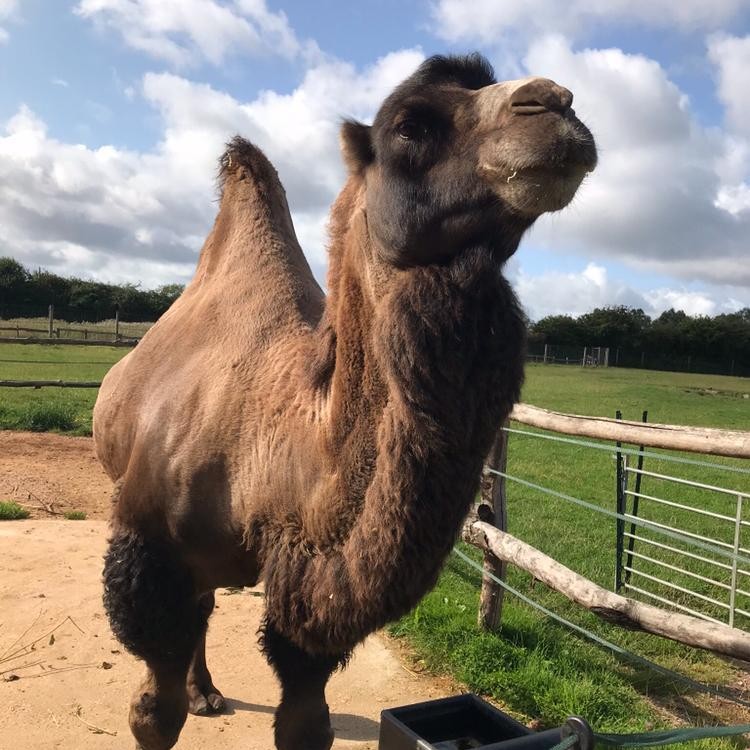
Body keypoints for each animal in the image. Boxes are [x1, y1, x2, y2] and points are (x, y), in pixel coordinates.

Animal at [93, 53, 596, 750]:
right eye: (410, 126)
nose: (556, 104)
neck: (272, 456)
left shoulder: (308, 603)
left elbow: (307, 718)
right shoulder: (148, 552)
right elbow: (152, 714)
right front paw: (175, 702)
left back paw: (208, 690)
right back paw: (202, 692)